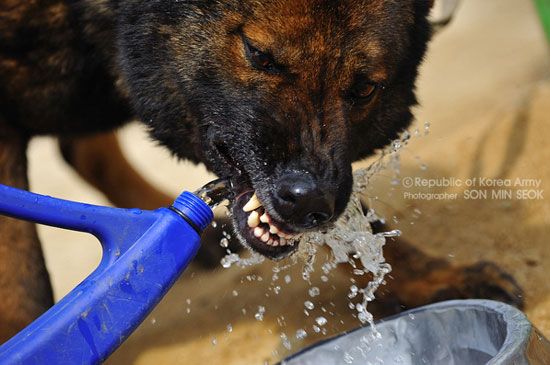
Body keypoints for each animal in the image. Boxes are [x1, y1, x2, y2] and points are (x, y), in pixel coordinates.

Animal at [0, 0, 528, 342]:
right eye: (259, 54)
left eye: (364, 88)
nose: (311, 202)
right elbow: (21, 279)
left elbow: (359, 226)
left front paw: (428, 279)